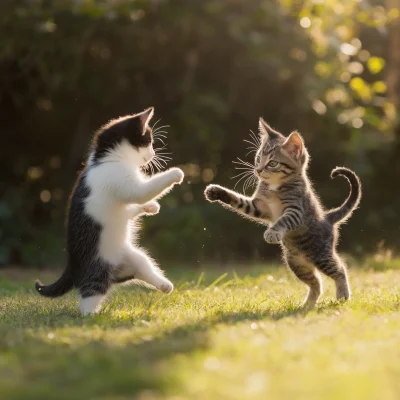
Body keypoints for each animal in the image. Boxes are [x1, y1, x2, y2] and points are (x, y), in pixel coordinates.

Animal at [35, 108, 184, 314]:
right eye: (148, 141)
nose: (153, 153)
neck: (105, 159)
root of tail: (72, 266)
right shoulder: (119, 180)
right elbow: (143, 191)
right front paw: (175, 173)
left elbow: (131, 208)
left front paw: (151, 207)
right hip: (98, 270)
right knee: (90, 293)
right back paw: (91, 316)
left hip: (133, 256)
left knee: (143, 266)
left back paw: (165, 285)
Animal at [205, 118, 360, 306]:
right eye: (258, 158)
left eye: (272, 163)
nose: (258, 170)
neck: (274, 186)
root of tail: (327, 218)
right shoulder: (259, 207)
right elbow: (239, 200)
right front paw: (216, 192)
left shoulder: (296, 209)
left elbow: (283, 220)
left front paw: (272, 232)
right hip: (296, 263)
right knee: (316, 283)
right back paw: (307, 305)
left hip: (320, 254)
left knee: (340, 269)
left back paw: (342, 294)